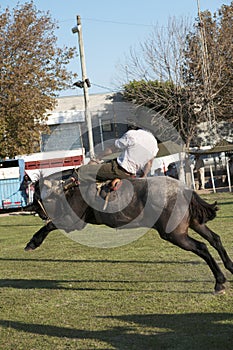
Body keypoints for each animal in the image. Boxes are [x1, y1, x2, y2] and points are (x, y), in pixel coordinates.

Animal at [24, 169, 233, 292]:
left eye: (35, 196)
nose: (36, 211)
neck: (70, 188)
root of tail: (183, 189)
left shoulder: (73, 221)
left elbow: (51, 225)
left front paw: (33, 242)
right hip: (195, 224)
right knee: (215, 239)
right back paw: (229, 267)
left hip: (175, 234)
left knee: (202, 247)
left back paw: (219, 281)